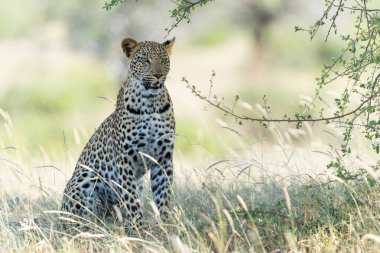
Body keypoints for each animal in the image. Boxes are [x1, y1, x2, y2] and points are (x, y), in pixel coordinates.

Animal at [60, 36, 177, 234]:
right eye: (145, 60)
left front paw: (166, 227)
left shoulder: (164, 157)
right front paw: (138, 230)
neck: (150, 103)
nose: (158, 75)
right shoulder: (126, 158)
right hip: (84, 179)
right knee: (81, 219)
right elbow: (131, 199)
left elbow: (163, 194)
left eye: (164, 60)